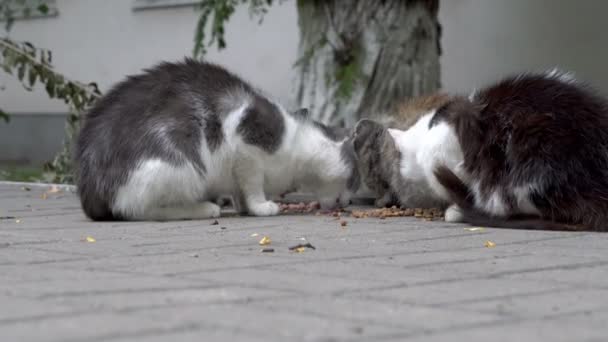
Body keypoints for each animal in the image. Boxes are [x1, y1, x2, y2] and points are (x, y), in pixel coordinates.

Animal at [73, 58, 358, 222]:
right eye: (353, 181)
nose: (348, 202)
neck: (297, 144)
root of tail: (89, 187)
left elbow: (240, 189)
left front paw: (244, 208)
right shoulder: (246, 142)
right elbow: (253, 184)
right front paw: (261, 206)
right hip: (180, 167)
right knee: (137, 210)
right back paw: (203, 208)